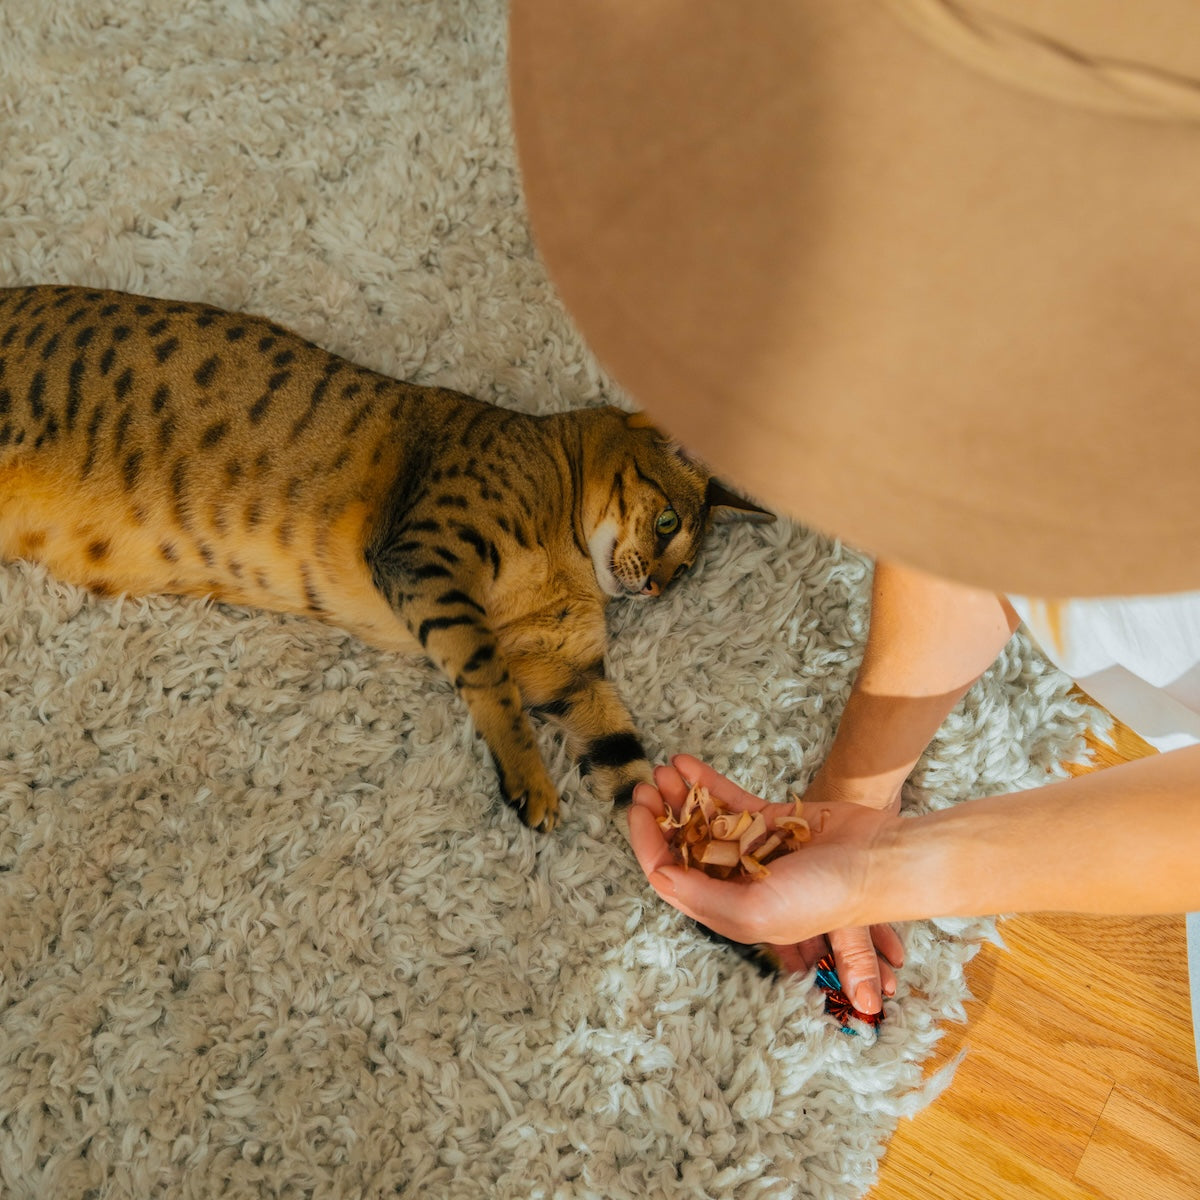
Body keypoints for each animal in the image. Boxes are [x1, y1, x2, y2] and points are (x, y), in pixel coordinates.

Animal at [0, 282, 768, 830]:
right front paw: (531, 783)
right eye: (667, 522)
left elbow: (625, 760)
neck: (570, 552)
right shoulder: (426, 558)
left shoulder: (565, 667)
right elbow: (489, 678)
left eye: (688, 568)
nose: (657, 589)